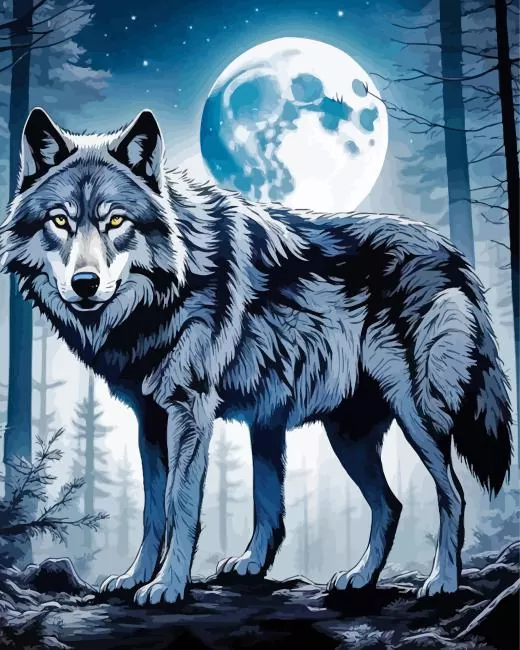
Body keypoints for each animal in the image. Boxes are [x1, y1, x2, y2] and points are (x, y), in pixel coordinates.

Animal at [0, 107, 512, 605]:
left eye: (115, 221)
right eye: (60, 221)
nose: (85, 284)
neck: (165, 292)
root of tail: (453, 255)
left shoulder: (190, 411)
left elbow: (179, 504)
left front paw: (167, 587)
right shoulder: (151, 418)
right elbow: (154, 509)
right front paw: (135, 578)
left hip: (416, 416)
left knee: (453, 495)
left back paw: (442, 581)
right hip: (347, 436)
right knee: (390, 504)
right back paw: (359, 577)